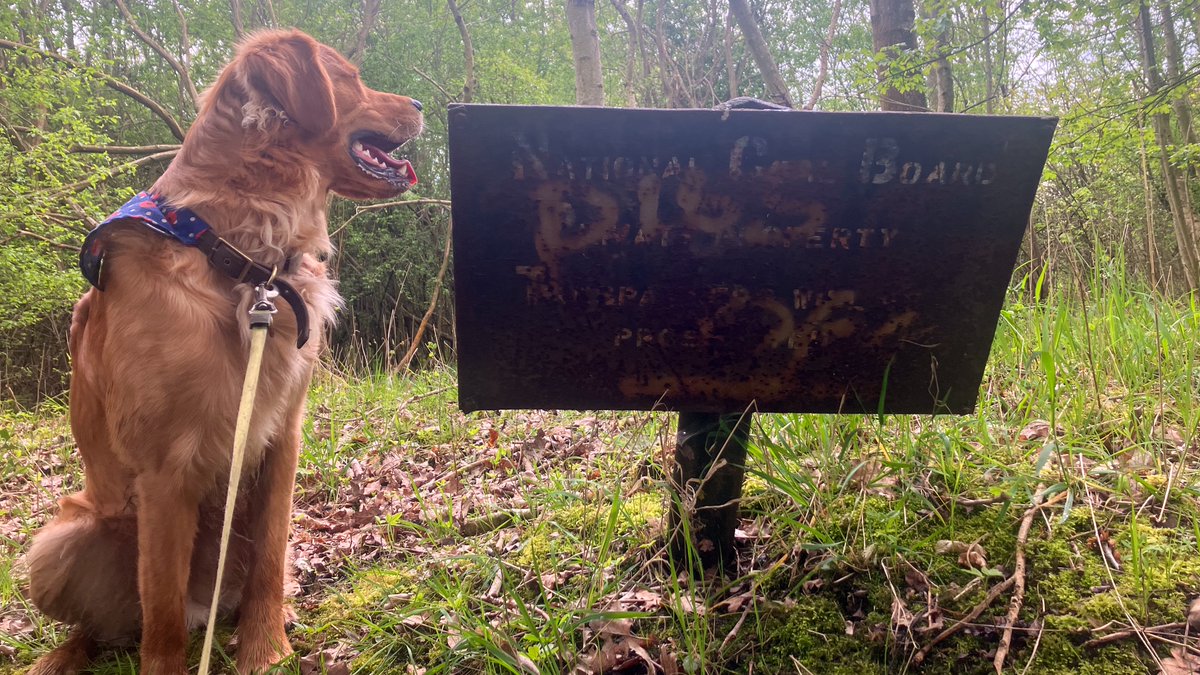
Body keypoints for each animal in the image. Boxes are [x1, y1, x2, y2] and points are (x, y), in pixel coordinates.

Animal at [25, 28, 424, 667]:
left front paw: (266, 649)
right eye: (349, 77)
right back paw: (62, 657)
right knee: (113, 626)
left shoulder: (281, 434)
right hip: (63, 537)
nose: (417, 102)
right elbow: (161, 612)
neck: (236, 256)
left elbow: (269, 559)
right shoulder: (164, 467)